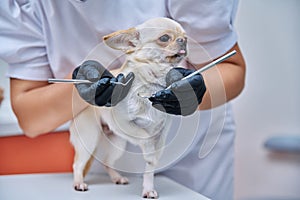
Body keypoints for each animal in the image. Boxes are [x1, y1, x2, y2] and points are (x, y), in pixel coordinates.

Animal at [70, 17, 188, 198]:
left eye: (185, 36)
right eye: (164, 38)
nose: (184, 40)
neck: (151, 86)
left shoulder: (161, 135)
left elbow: (150, 166)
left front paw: (148, 189)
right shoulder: (125, 123)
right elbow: (145, 137)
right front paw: (147, 150)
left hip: (117, 143)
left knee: (106, 162)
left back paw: (116, 177)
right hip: (89, 139)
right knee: (78, 164)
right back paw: (79, 183)